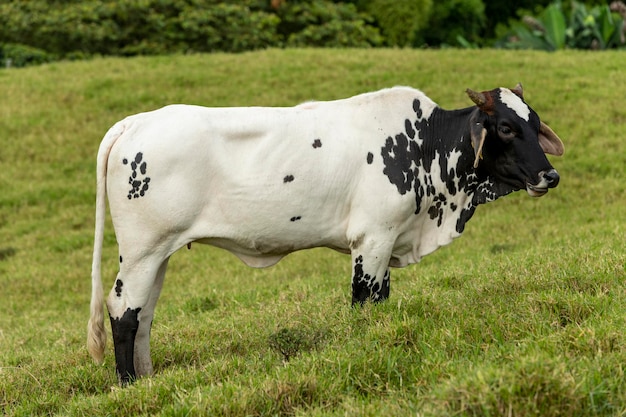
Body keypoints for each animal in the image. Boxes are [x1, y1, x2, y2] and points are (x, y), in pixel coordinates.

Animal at [86, 82, 560, 384]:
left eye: (535, 123)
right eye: (505, 127)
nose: (549, 175)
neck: (425, 147)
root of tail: (135, 122)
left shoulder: (387, 240)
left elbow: (381, 301)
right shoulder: (372, 238)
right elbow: (364, 302)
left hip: (160, 252)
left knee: (145, 313)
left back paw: (148, 379)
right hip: (142, 250)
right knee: (124, 310)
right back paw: (128, 384)